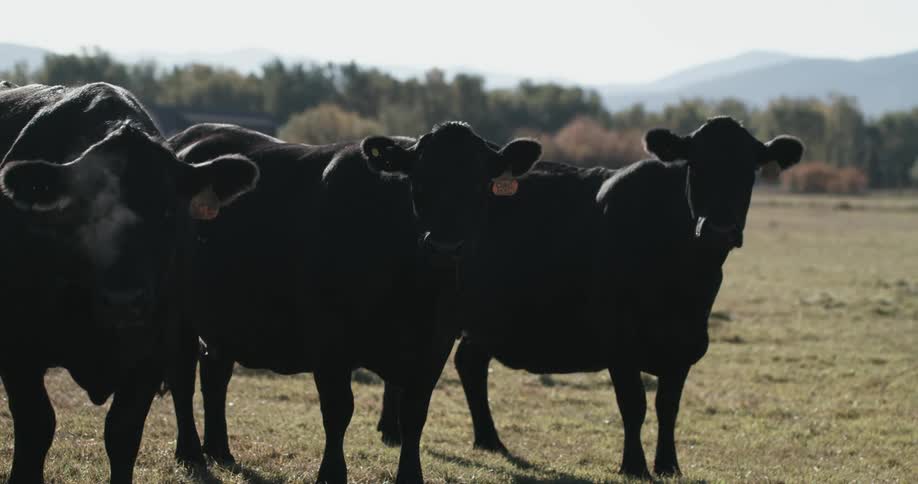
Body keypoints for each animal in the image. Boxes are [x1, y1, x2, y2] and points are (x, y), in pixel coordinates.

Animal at [0, 82, 259, 484]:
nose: (124, 300)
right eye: (81, 210)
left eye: (169, 210)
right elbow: (36, 426)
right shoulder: (18, 347)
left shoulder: (152, 352)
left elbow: (122, 433)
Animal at [167, 121, 541, 483]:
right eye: (419, 181)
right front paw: (331, 474)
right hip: (178, 314)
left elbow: (414, 413)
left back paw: (220, 451)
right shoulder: (329, 337)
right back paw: (191, 453)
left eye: (480, 184)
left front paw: (410, 476)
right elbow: (338, 410)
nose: (445, 247)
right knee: (183, 378)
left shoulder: (436, 343)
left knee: (215, 374)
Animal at [377, 117, 804, 478]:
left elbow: (668, 407)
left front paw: (668, 465)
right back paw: (392, 431)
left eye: (748, 173)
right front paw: (634, 466)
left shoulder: (685, 344)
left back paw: (489, 440)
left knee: (469, 363)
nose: (718, 230)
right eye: (696, 167)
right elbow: (634, 404)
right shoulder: (619, 339)